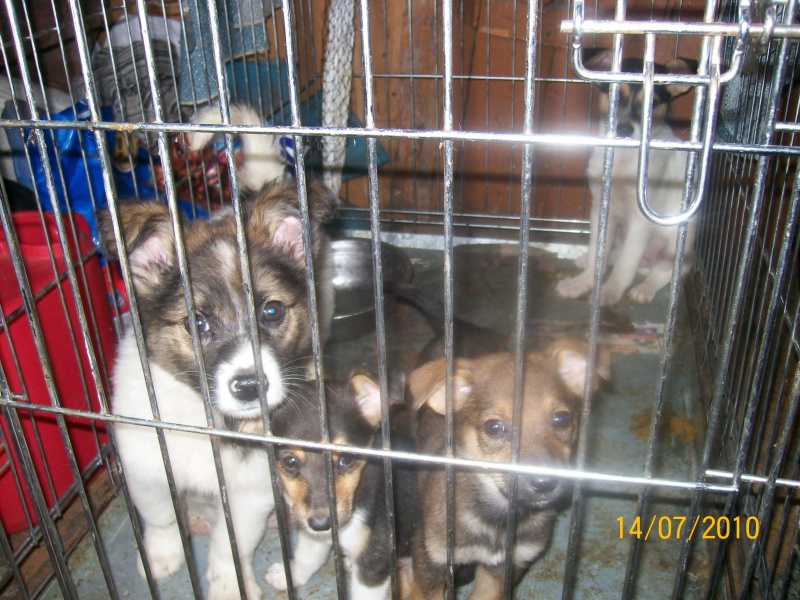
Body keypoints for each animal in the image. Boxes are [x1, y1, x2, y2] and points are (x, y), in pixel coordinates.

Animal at [98, 180, 337, 599]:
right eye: (196, 322)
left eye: (271, 311)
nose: (250, 386)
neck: (203, 416)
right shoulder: (143, 461)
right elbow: (159, 514)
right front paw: (161, 554)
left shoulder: (249, 489)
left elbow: (230, 545)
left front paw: (229, 586)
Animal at [263, 371, 417, 599]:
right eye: (289, 461)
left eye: (346, 459)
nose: (321, 524)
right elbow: (308, 554)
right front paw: (290, 574)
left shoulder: (375, 558)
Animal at [407, 342, 610, 600]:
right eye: (494, 427)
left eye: (561, 419)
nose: (545, 482)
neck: (500, 516)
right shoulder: (431, 560)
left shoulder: (506, 567)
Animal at [556, 48, 697, 306]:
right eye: (614, 96)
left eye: (652, 103)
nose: (624, 129)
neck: (622, 158)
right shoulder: (601, 210)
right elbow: (598, 255)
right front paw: (582, 282)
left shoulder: (640, 222)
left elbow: (625, 265)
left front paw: (609, 292)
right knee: (614, 253)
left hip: (677, 239)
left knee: (664, 271)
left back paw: (645, 289)